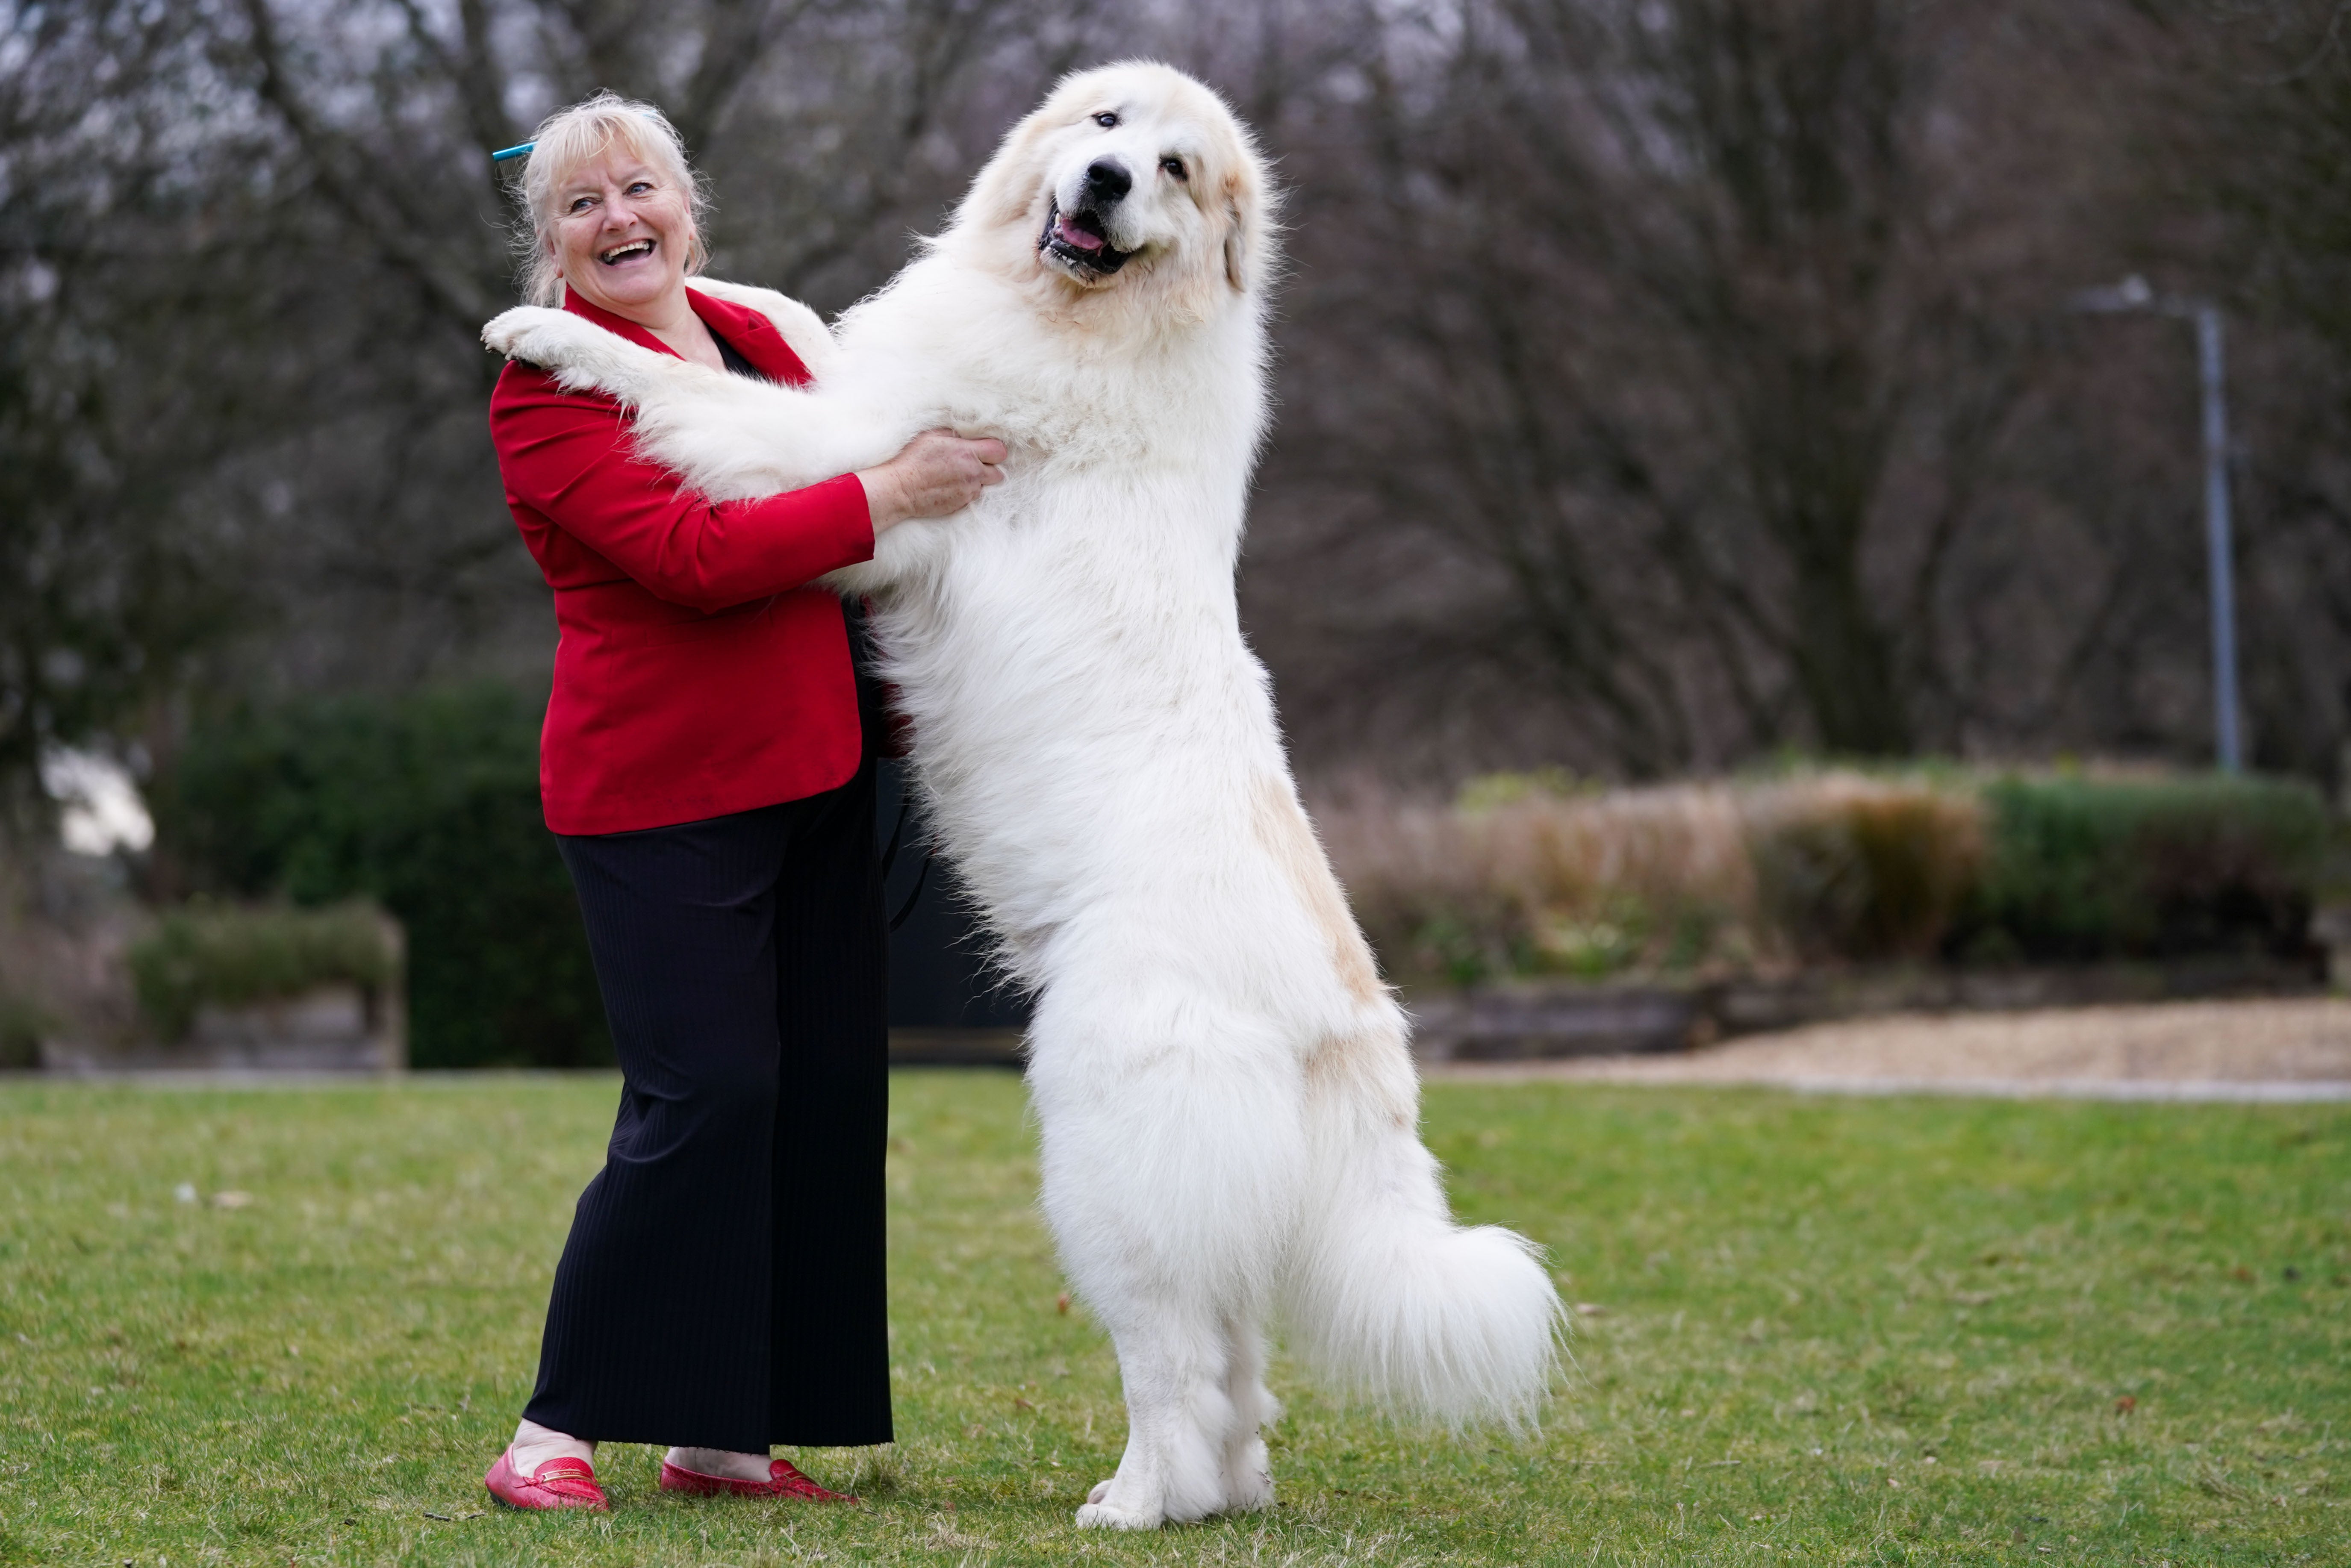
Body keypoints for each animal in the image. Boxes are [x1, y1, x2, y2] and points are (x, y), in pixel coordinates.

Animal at [480, 64, 1570, 1533]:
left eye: (1176, 170)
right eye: (1108, 127)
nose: (1105, 185)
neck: (1091, 318)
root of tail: (1345, 1012)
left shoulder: (838, 451)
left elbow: (686, 387)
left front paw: (546, 327)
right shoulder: (866, 393)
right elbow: (795, 340)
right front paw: (734, 297)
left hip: (1110, 1162)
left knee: (1176, 1355)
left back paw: (1136, 1497)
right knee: (1237, 1365)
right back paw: (1218, 1491)